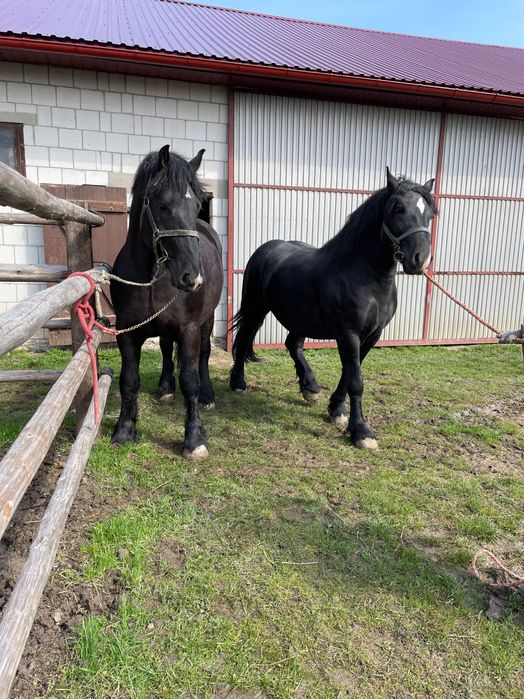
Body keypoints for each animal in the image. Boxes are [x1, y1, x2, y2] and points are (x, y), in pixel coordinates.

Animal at [111, 144, 222, 460]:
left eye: (196, 206)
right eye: (162, 205)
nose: (192, 278)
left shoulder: (189, 329)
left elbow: (190, 380)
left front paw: (194, 439)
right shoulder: (127, 332)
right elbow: (129, 380)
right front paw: (124, 430)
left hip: (207, 321)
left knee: (204, 355)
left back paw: (208, 396)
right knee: (163, 348)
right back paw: (164, 388)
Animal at [231, 172, 436, 452]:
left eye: (430, 214)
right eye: (398, 209)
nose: (420, 260)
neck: (366, 276)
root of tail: (266, 249)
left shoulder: (371, 336)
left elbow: (349, 373)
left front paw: (337, 410)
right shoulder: (348, 334)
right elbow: (356, 381)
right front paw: (361, 432)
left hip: (300, 318)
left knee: (292, 344)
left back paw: (310, 387)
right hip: (255, 310)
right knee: (243, 341)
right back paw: (238, 383)